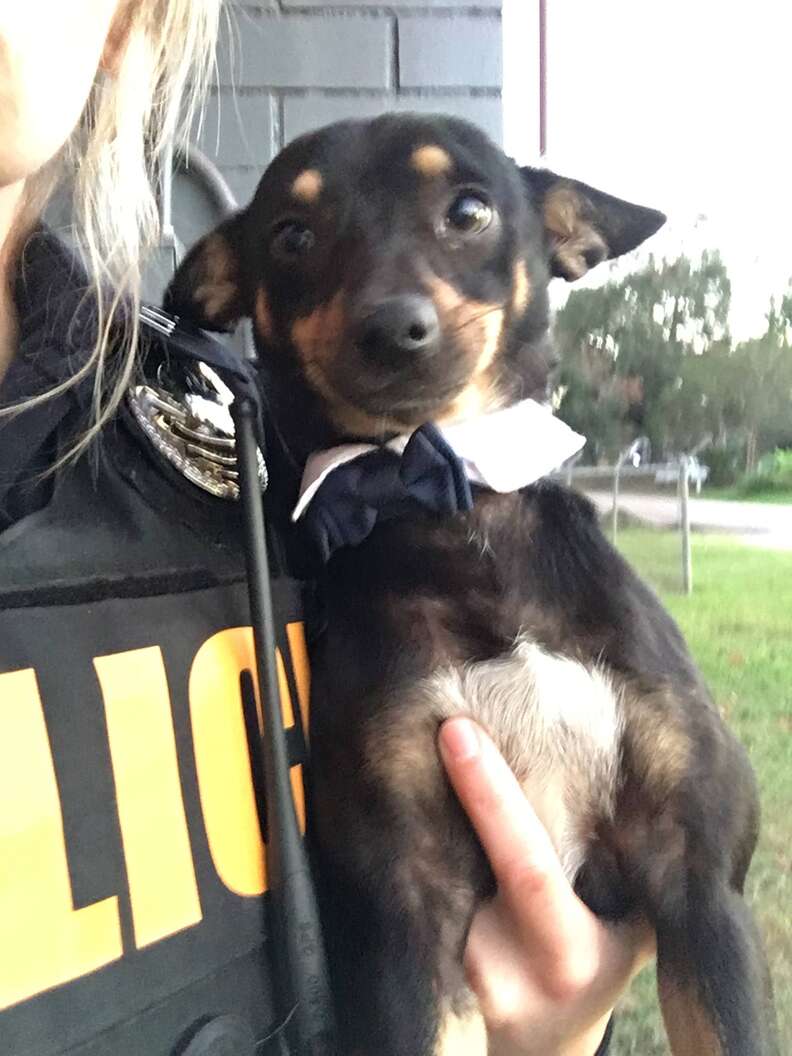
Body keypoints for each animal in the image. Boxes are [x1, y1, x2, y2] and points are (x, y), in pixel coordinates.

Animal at [165, 115, 777, 1056]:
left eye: (468, 211)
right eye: (292, 236)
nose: (391, 327)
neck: (457, 514)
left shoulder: (702, 884)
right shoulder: (406, 911)